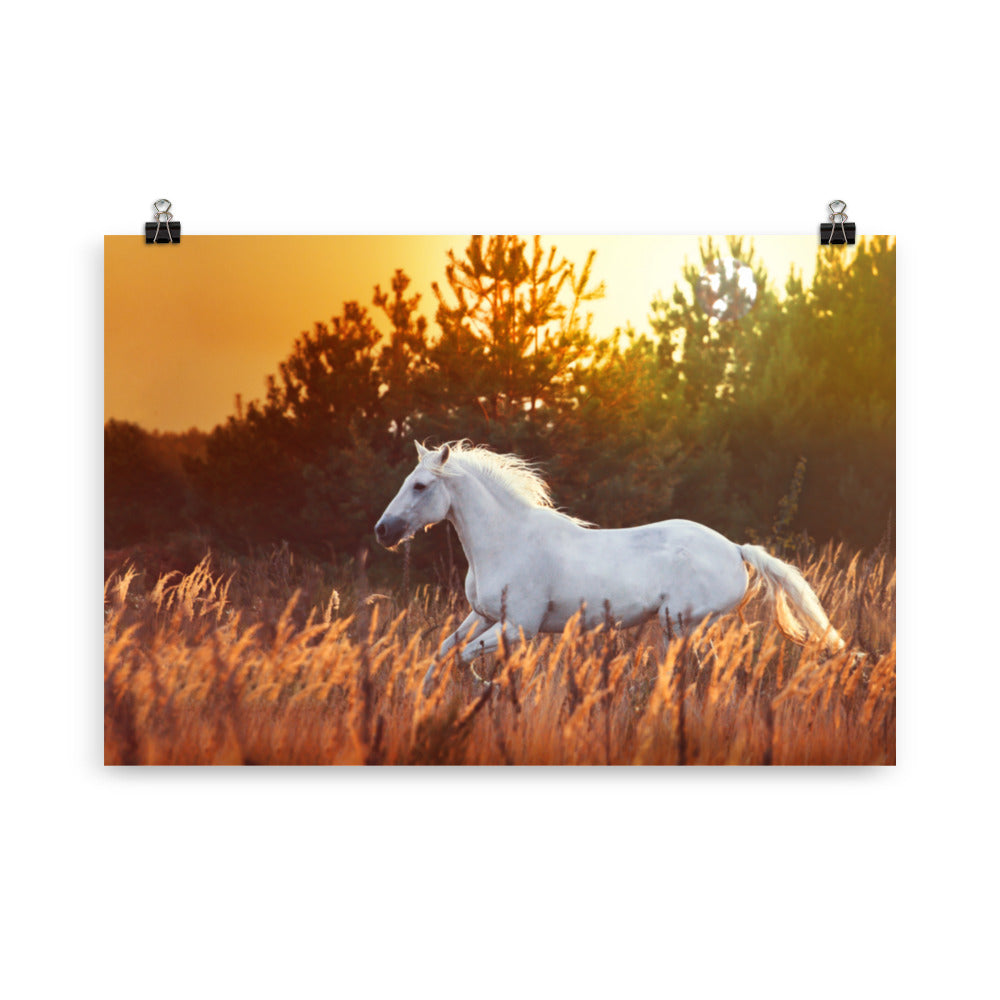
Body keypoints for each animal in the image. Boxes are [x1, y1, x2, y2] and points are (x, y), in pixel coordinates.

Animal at [375, 441, 843, 688]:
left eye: (420, 485)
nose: (383, 531)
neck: (507, 540)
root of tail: (735, 548)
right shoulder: (483, 614)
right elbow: (444, 650)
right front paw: (427, 697)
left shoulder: (518, 627)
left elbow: (465, 655)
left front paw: (486, 686)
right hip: (679, 629)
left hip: (682, 624)